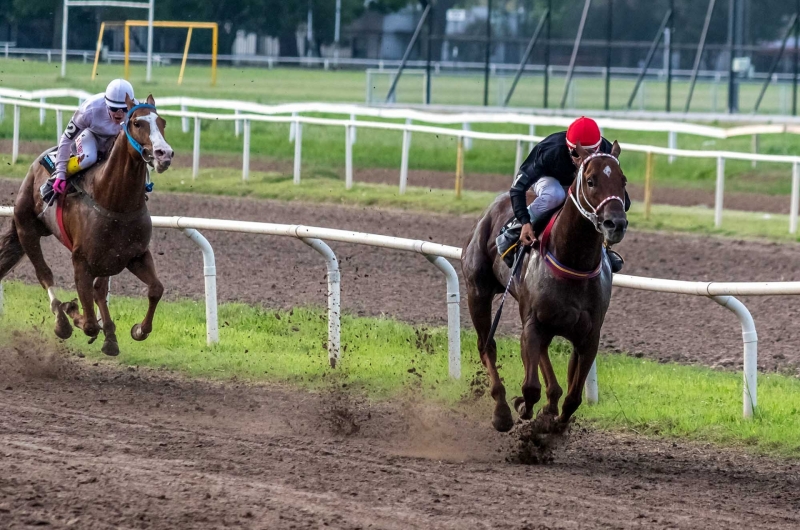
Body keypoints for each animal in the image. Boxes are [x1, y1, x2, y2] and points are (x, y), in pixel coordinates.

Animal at [0, 94, 173, 354]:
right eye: (137, 123)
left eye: (162, 122)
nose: (164, 154)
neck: (115, 202)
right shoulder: (81, 260)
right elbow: (89, 322)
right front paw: (72, 311)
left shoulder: (136, 255)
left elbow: (155, 289)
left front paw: (139, 329)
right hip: (26, 228)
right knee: (45, 274)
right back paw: (62, 321)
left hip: (106, 259)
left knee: (99, 290)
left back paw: (110, 336)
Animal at [460, 140, 628, 428]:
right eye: (591, 181)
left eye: (623, 180)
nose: (615, 223)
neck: (574, 262)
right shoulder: (533, 323)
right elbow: (530, 387)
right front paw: (522, 408)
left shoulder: (588, 334)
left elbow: (573, 397)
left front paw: (554, 423)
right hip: (477, 291)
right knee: (486, 346)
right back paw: (502, 409)